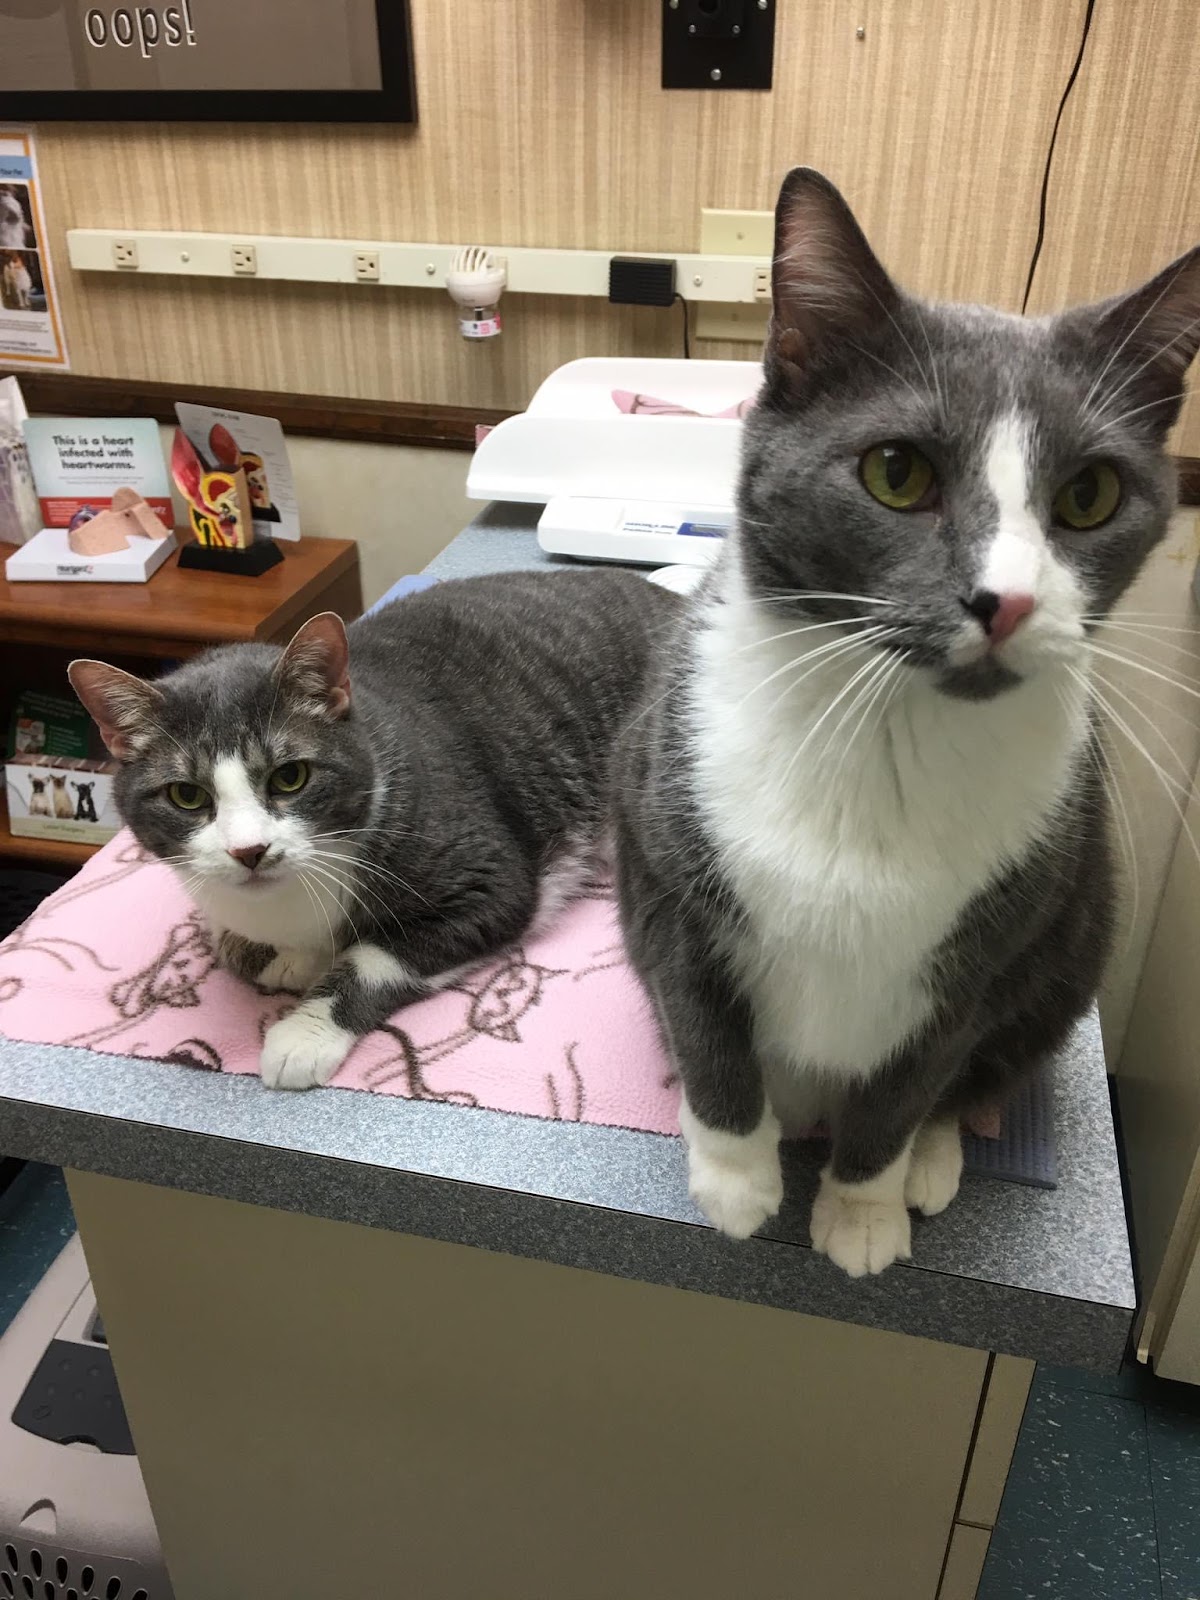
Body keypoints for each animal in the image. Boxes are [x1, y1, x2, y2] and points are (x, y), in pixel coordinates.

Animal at [70, 569, 681, 1094]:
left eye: (290, 776)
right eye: (187, 796)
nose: (249, 850)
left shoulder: (491, 881)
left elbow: (377, 956)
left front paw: (304, 1031)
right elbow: (231, 944)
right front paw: (287, 957)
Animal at [614, 168, 1196, 1280]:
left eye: (1090, 493)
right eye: (897, 472)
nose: (1006, 600)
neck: (889, 731)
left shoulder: (986, 949)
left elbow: (908, 1083)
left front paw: (861, 1210)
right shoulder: (667, 858)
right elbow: (707, 1027)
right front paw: (737, 1179)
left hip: (1078, 928)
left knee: (986, 1071)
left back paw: (933, 1158)